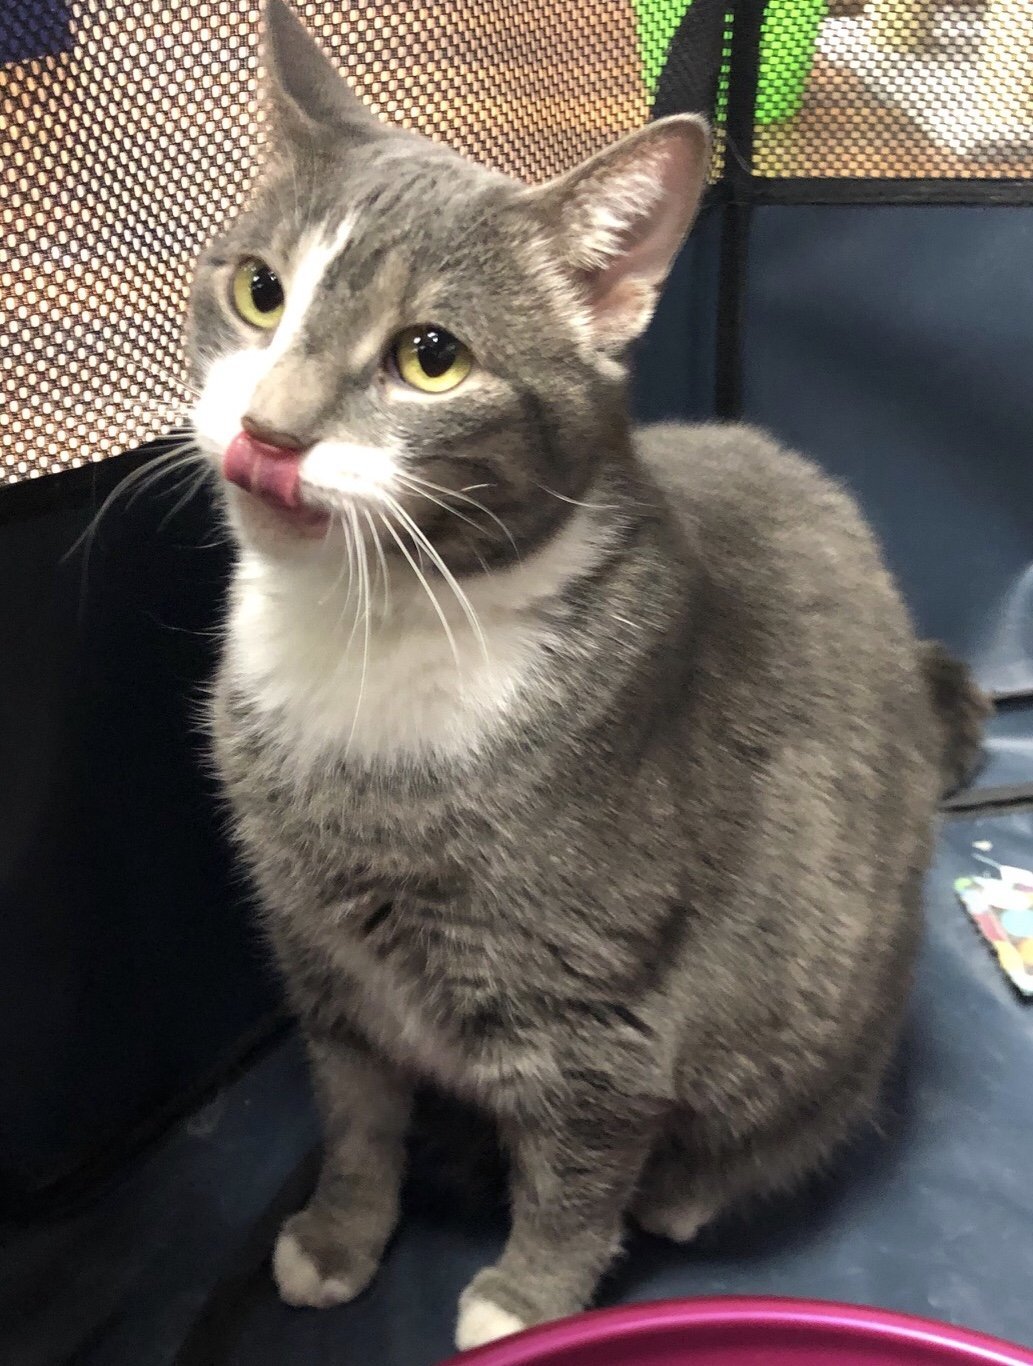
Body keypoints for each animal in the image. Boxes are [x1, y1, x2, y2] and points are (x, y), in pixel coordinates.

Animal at [185, 0, 983, 1344]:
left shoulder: (597, 1005)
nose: (270, 433)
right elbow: (355, 1114)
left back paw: (687, 1191)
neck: (369, 626)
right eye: (258, 291)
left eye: (432, 358)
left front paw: (524, 1304)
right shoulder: (321, 957)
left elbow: (577, 1160)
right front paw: (339, 1235)